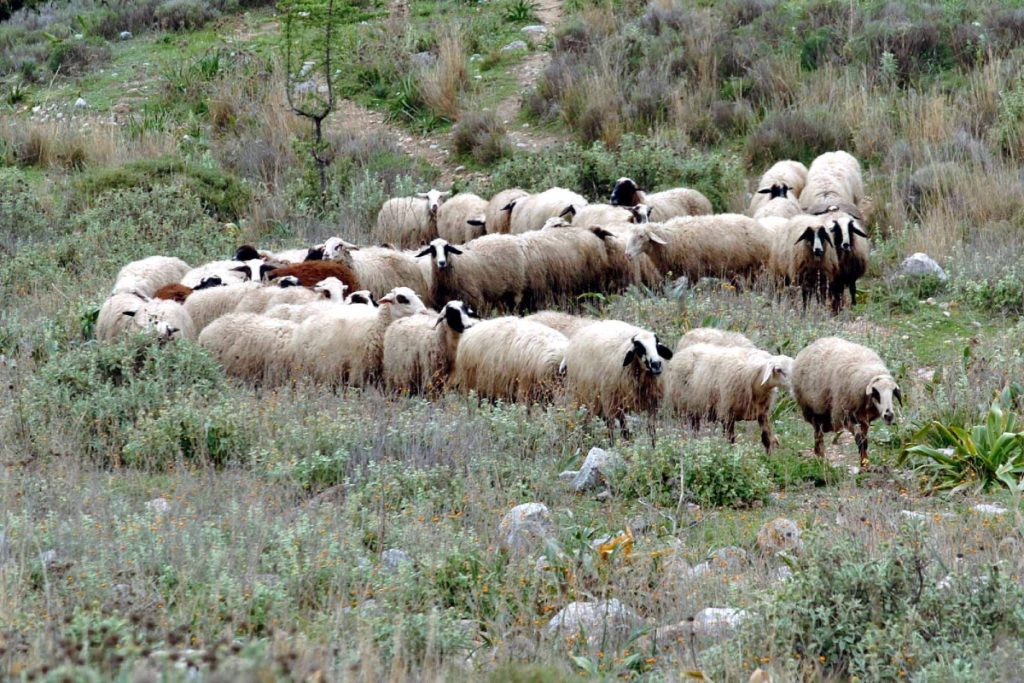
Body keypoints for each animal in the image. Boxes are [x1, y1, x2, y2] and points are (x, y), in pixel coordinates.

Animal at [624, 215, 771, 286]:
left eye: (641, 236)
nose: (627, 254)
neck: (671, 238)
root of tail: (762, 229)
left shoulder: (693, 272)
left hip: (755, 268)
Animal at [791, 337, 901, 468]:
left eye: (893, 392)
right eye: (875, 393)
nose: (889, 415)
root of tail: (813, 343)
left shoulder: (864, 419)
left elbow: (864, 441)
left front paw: (865, 462)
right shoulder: (844, 416)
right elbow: (859, 440)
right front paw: (864, 464)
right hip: (812, 409)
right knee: (818, 435)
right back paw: (820, 458)